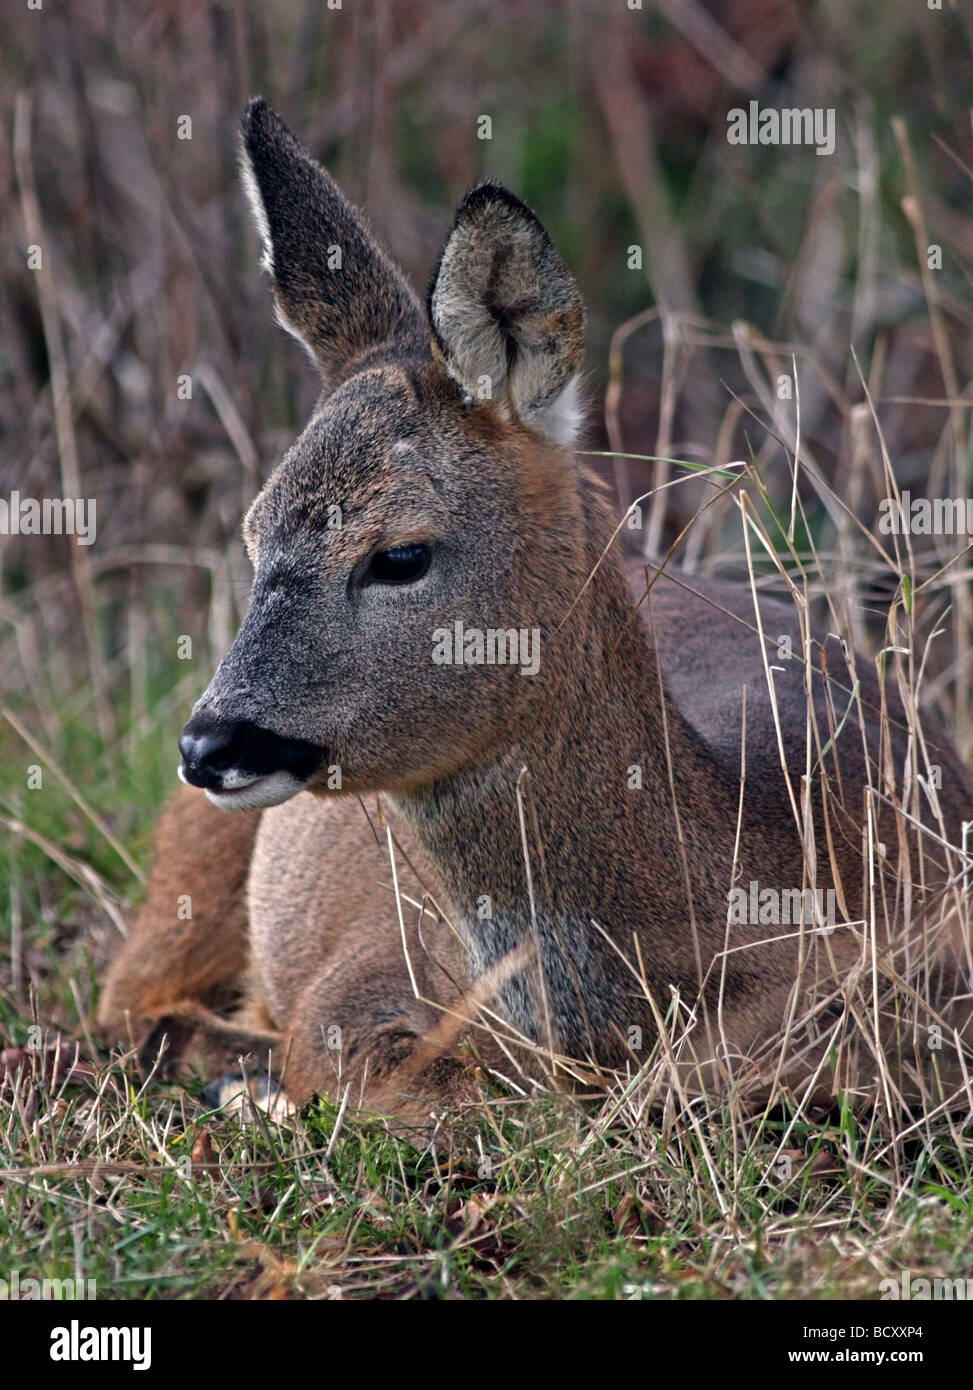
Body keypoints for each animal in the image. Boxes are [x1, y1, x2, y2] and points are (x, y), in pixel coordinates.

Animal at [100, 95, 973, 1117]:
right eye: (251, 534)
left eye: (399, 553)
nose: (211, 743)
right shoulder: (353, 980)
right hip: (196, 855)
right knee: (131, 1003)